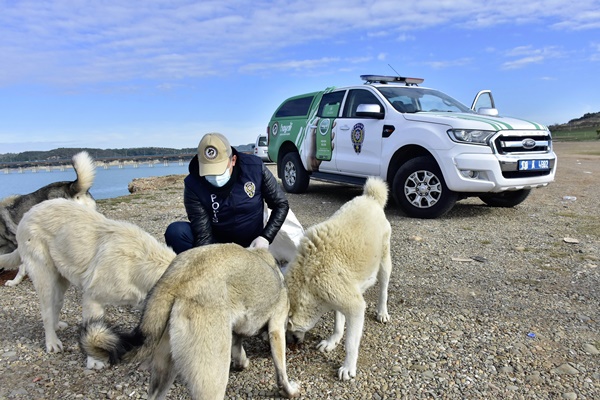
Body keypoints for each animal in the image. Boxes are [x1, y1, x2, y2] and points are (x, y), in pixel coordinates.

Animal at [7, 198, 176, 370]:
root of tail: (29, 212)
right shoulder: (92, 298)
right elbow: (92, 329)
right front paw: (95, 360)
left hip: (61, 281)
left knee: (56, 305)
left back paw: (57, 326)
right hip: (45, 278)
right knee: (46, 312)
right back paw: (52, 343)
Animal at [79, 244, 300, 400]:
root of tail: (177, 278)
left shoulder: (236, 333)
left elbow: (239, 349)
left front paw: (242, 363)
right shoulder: (276, 329)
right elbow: (281, 371)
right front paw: (289, 391)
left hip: (163, 371)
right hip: (211, 380)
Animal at [286, 177, 394, 382]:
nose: (292, 344)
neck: (307, 278)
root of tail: (370, 197)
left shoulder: (354, 307)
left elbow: (351, 342)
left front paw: (348, 367)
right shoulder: (336, 298)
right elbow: (338, 323)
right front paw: (332, 341)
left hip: (384, 261)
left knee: (383, 288)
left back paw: (382, 312)